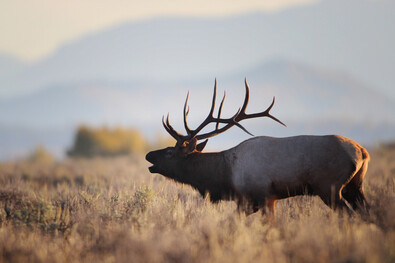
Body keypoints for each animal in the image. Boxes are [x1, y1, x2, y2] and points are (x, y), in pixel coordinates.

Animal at [145, 79, 372, 216]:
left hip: (329, 187)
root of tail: (362, 152)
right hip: (354, 187)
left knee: (349, 215)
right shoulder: (249, 203)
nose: (148, 155)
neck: (224, 175)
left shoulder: (262, 197)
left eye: (170, 152)